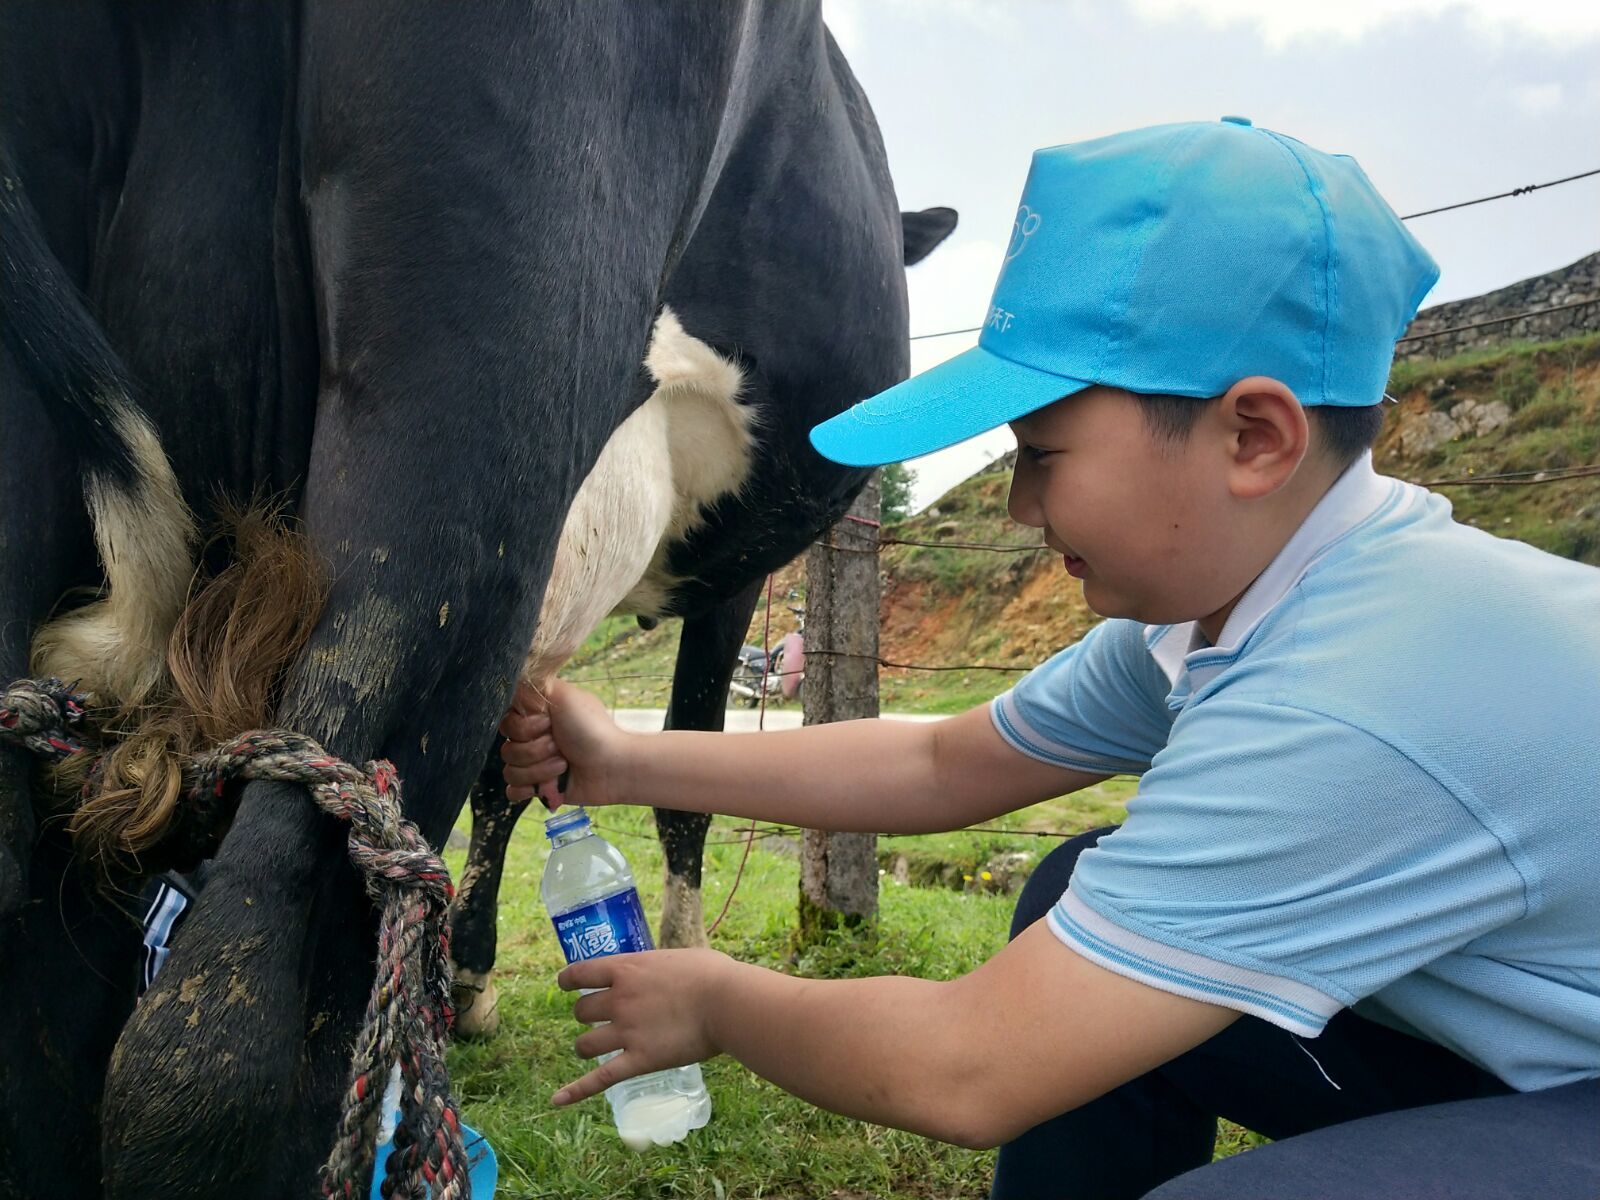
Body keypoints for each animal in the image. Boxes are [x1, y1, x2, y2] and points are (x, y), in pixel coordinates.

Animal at [0, 2, 947, 1200]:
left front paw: (480, 976)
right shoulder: (724, 581)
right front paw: (681, 968)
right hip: (487, 393)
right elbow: (684, 763)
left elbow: (515, 782)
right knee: (215, 1040)